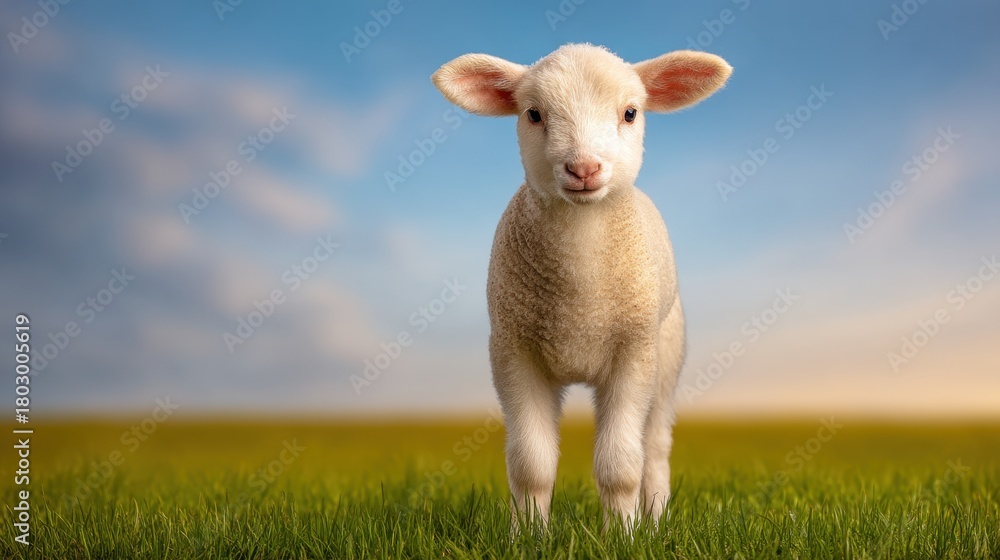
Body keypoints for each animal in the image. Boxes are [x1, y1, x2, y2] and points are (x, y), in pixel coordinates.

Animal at [432, 44, 732, 530]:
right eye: (533, 114)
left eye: (630, 112)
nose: (584, 168)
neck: (580, 302)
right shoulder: (513, 352)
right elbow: (530, 464)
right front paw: (527, 535)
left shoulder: (633, 352)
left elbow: (621, 465)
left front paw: (624, 534)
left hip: (667, 358)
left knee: (655, 448)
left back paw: (656, 518)